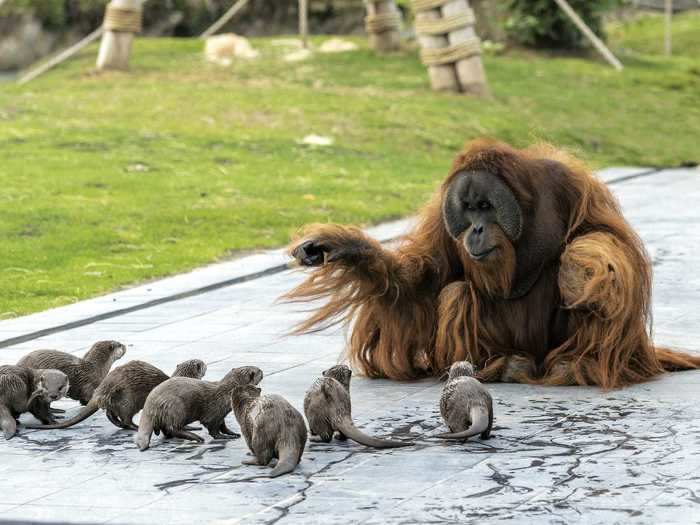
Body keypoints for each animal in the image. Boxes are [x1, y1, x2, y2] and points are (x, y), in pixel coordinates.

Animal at [28, 360, 208, 430]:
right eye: (202, 363)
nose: (205, 363)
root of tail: (103, 388)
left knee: (110, 413)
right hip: (129, 399)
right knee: (125, 417)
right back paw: (134, 427)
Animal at [133, 364, 262, 450]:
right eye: (259, 371)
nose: (262, 371)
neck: (226, 393)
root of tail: (150, 403)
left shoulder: (221, 413)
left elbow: (223, 425)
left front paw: (232, 433)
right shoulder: (214, 412)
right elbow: (213, 428)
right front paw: (222, 436)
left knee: (166, 428)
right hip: (176, 407)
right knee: (173, 428)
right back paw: (196, 437)